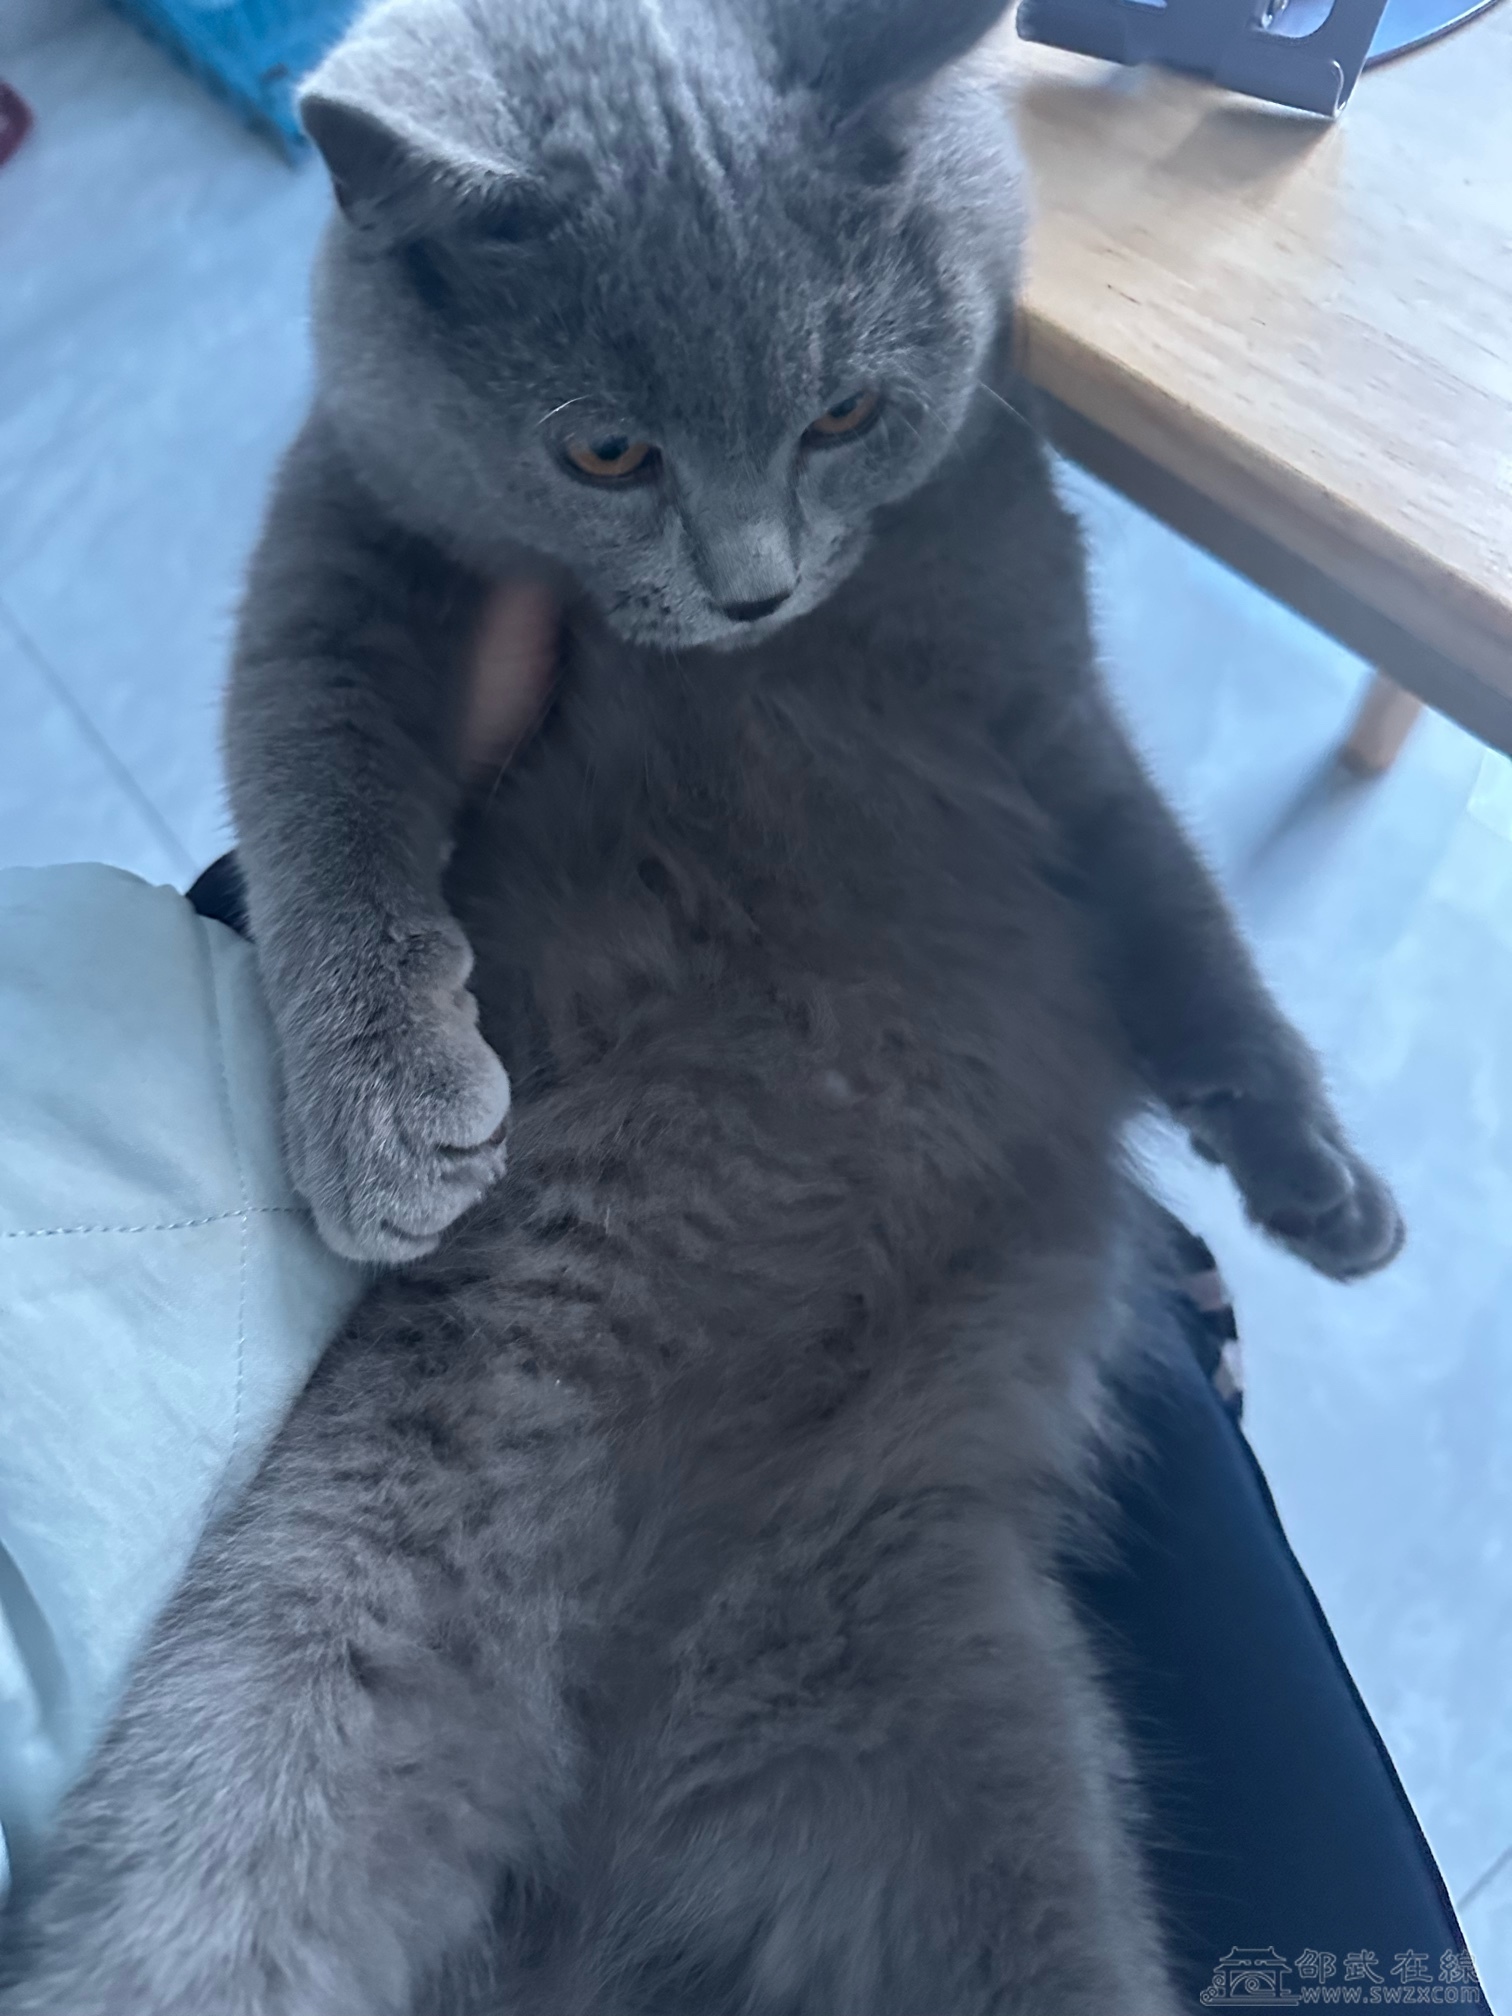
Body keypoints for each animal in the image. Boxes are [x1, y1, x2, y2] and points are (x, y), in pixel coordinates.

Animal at [0, 0, 1403, 2010]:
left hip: (991, 1768)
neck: (795, 652)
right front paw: (384, 1113)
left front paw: (1314, 1181)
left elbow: (1171, 903)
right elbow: (314, 767)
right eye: (604, 451)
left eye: (842, 413)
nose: (749, 584)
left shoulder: (1043, 692)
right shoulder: (353, 528)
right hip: (278, 1699)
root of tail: (612, 1865)